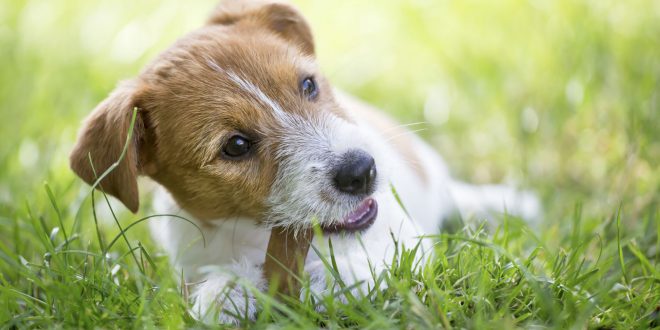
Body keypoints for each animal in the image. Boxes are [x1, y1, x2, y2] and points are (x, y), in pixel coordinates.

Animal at [69, 0, 540, 324]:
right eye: (235, 145)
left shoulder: (402, 239)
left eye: (308, 85)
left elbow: (353, 269)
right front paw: (229, 291)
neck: (256, 235)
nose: (361, 172)